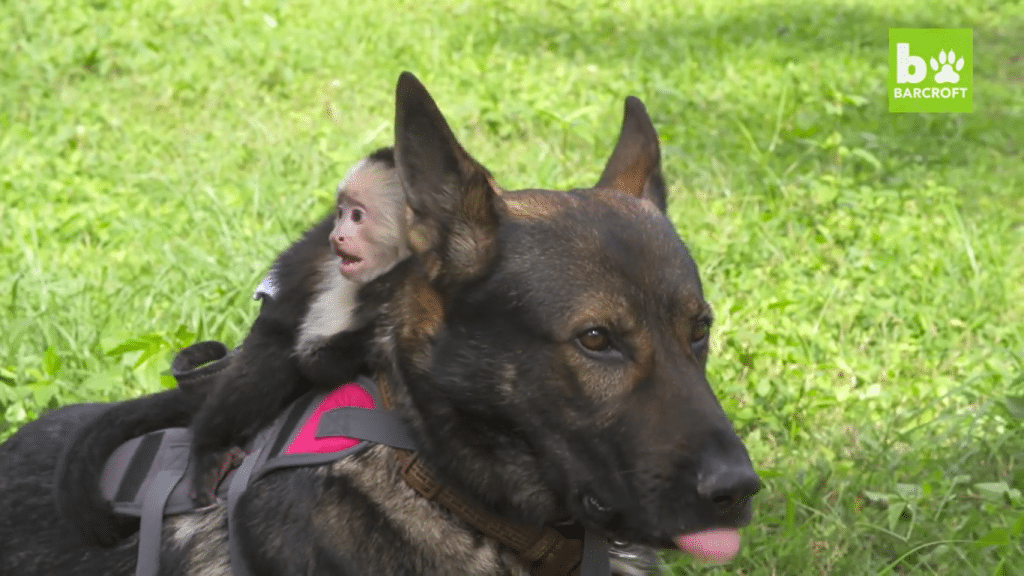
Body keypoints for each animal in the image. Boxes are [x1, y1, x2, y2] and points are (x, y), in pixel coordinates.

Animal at [56, 147, 407, 541]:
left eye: (357, 216)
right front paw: (380, 324)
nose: (338, 235)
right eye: (341, 211)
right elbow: (314, 360)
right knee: (264, 368)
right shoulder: (344, 275)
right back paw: (211, 448)